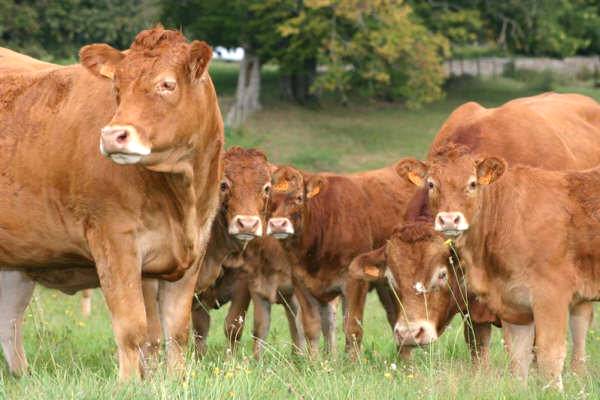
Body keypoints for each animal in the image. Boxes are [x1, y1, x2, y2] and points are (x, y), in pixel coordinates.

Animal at [264, 164, 414, 354]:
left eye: (299, 197)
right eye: (268, 197)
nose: (278, 225)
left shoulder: (355, 281)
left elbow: (352, 329)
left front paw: (353, 361)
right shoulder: (300, 282)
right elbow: (311, 329)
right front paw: (313, 361)